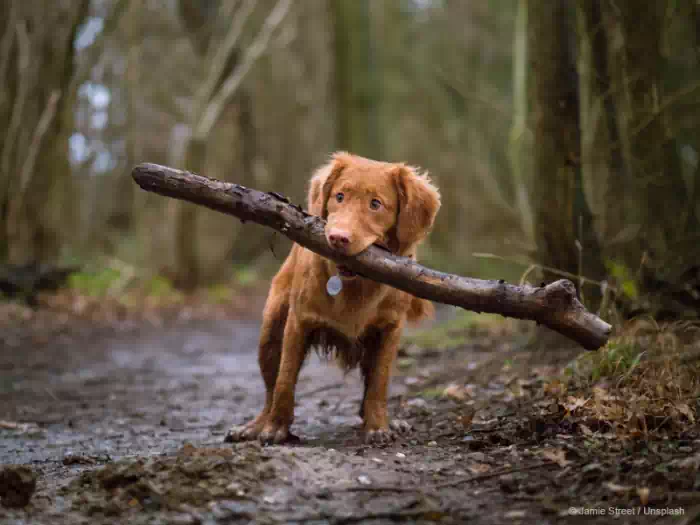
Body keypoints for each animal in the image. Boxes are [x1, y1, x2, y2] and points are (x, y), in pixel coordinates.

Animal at [227, 151, 440, 442]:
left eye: (376, 204)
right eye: (339, 196)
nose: (338, 238)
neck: (355, 285)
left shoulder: (390, 329)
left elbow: (378, 383)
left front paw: (378, 426)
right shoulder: (298, 322)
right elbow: (285, 380)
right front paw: (276, 428)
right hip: (270, 331)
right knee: (270, 388)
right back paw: (256, 425)